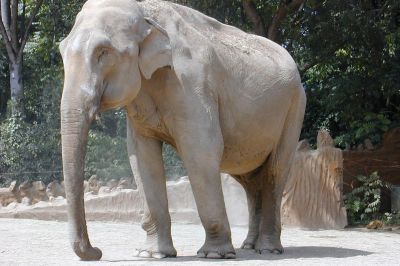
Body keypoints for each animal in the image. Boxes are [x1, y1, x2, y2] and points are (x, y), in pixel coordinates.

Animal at [58, 0, 306, 262]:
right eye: (61, 51)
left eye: (103, 52)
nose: (97, 252)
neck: (142, 10)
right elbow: (143, 158)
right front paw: (151, 255)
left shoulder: (191, 82)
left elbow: (201, 151)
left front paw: (214, 255)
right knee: (250, 181)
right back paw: (249, 246)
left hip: (295, 107)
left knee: (274, 171)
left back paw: (268, 249)